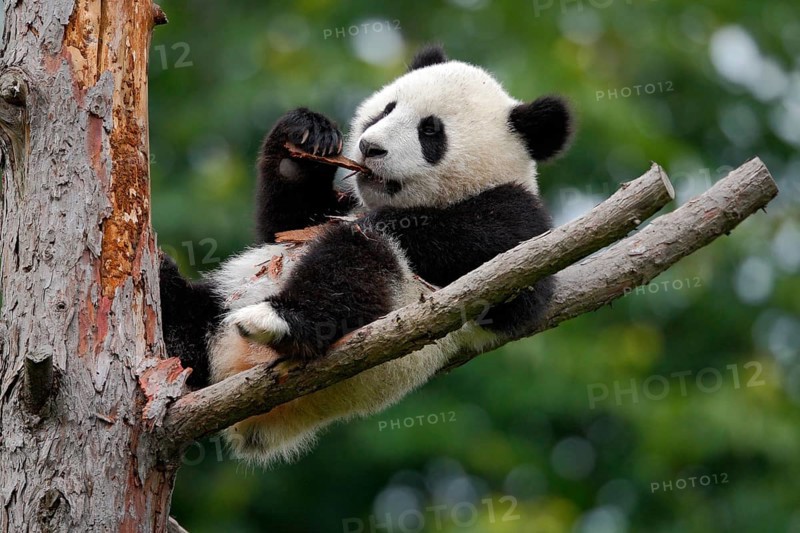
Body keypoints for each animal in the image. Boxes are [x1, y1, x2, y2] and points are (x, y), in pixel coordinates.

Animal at [159, 45, 573, 466]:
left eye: (430, 131)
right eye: (387, 109)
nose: (370, 147)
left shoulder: (521, 222)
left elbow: (515, 285)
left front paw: (389, 223)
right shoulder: (329, 207)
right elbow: (284, 225)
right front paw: (305, 136)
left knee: (353, 265)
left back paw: (284, 319)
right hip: (222, 302)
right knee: (191, 309)